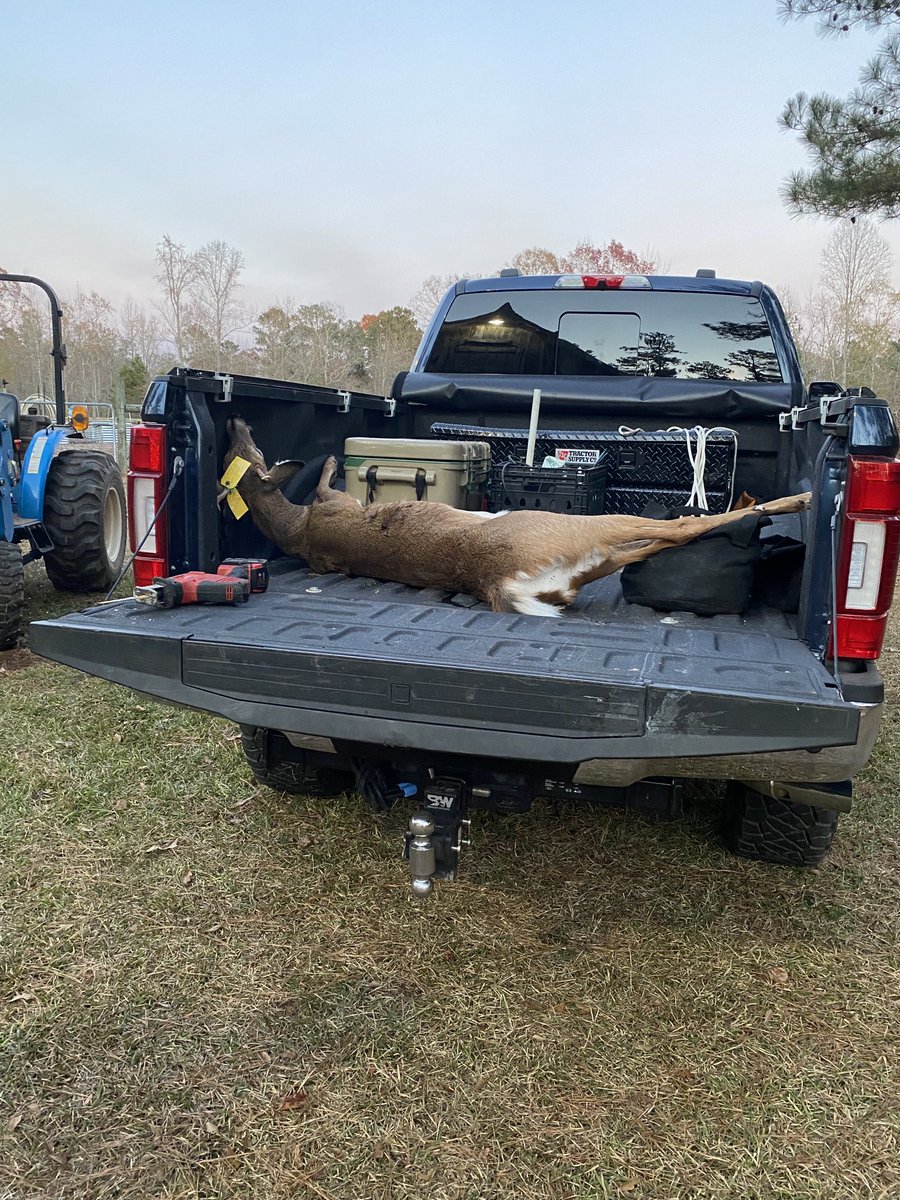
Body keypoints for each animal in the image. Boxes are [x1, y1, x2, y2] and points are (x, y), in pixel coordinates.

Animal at [222, 416, 811, 618]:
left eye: (245, 450)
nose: (233, 420)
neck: (298, 531)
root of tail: (496, 580)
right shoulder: (335, 503)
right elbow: (326, 479)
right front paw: (327, 461)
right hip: (584, 527)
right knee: (680, 527)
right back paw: (782, 506)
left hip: (584, 562)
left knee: (659, 544)